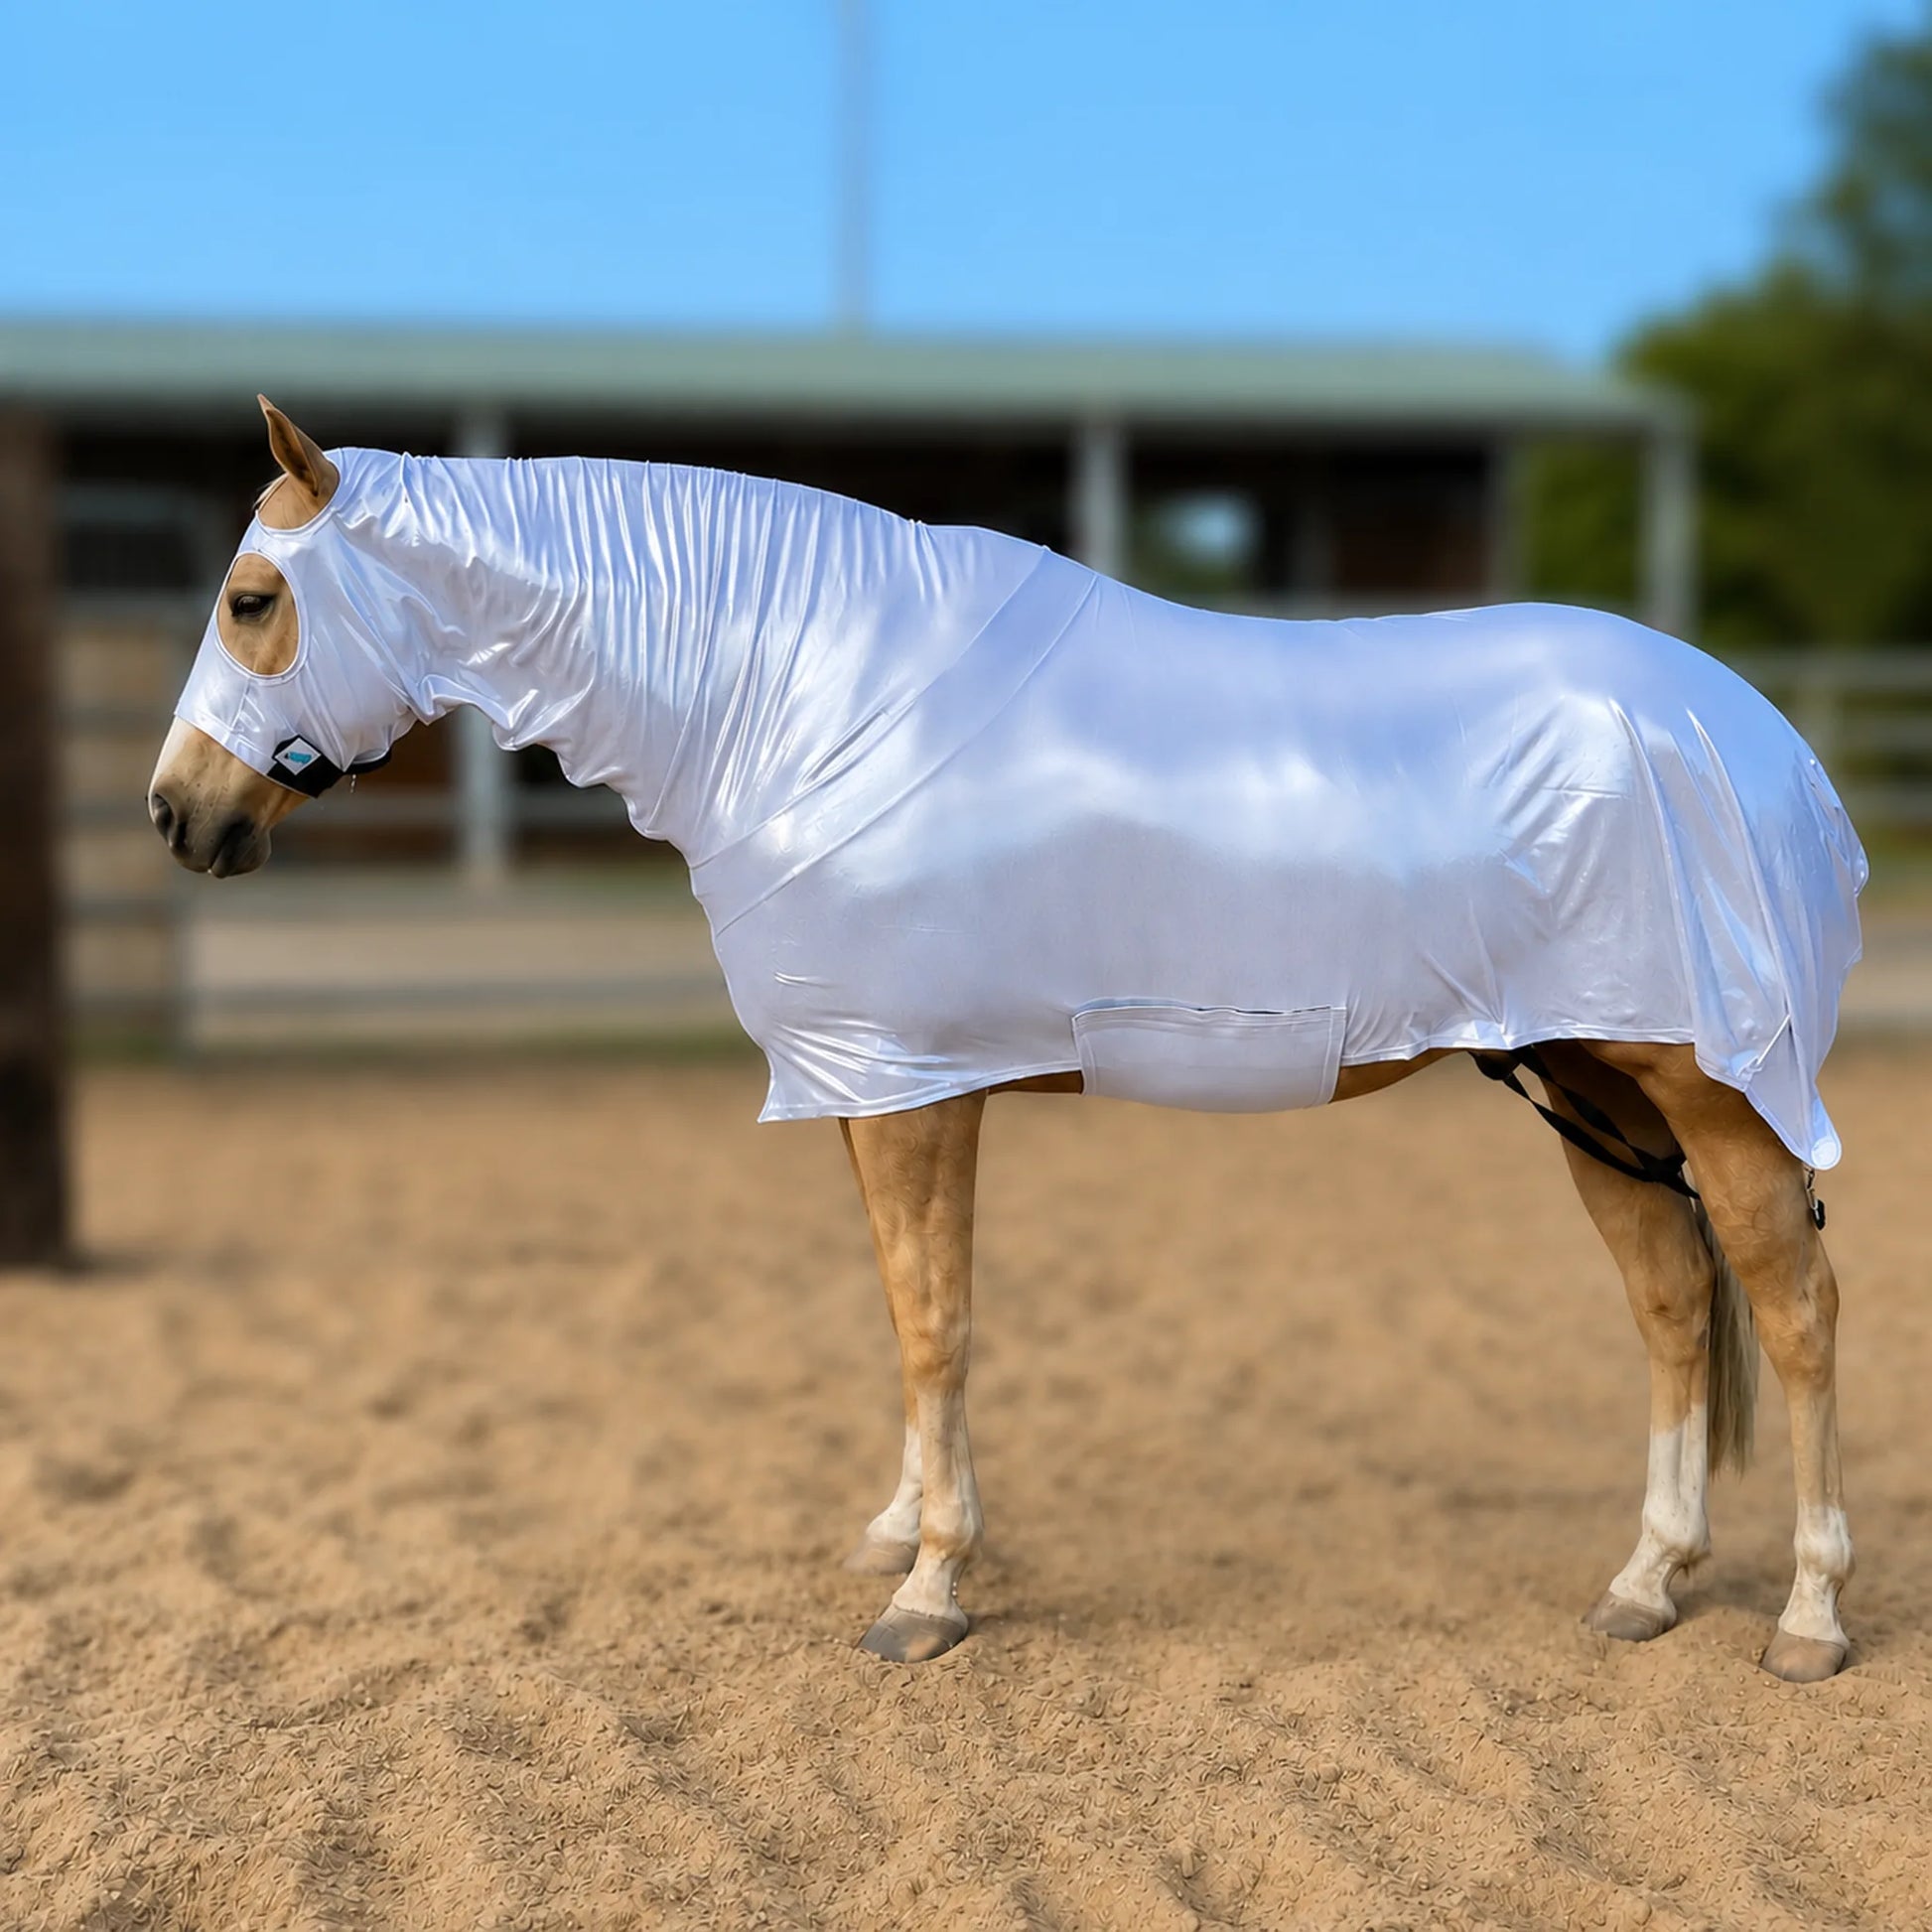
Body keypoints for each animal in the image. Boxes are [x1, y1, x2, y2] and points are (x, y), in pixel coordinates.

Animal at [148, 398, 1864, 1681]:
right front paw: (902, 1532)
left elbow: (935, 1322)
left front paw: (928, 1592)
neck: (803, 697)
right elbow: (901, 1311)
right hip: (1582, 1076)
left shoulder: (922, 1090)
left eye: (251, 598)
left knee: (1792, 1312)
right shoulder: (869, 1079)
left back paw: (1806, 1616)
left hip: (1710, 1093)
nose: (178, 815)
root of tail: (1755, 735)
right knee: (1667, 1302)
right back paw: (1645, 1582)